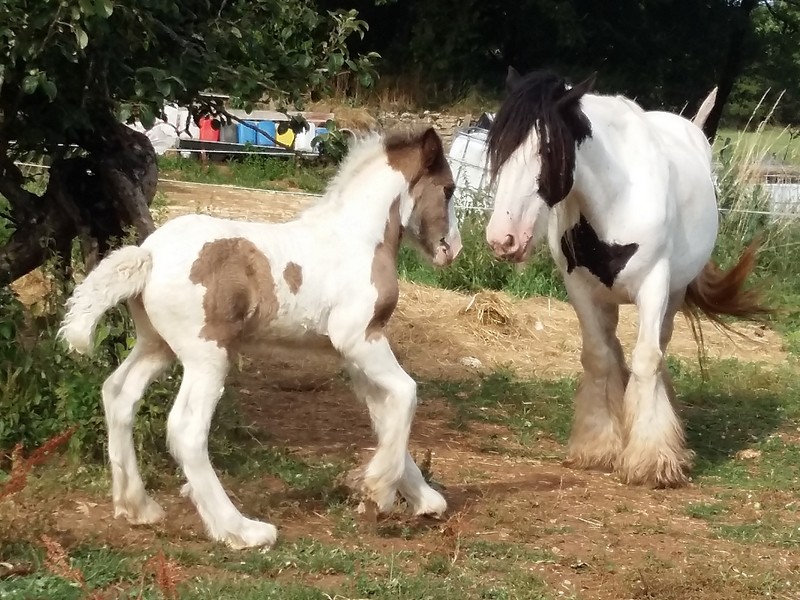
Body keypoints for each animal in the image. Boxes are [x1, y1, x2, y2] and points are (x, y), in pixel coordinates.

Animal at [59, 125, 462, 548]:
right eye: (448, 189)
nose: (453, 249)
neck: (356, 239)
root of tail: (148, 257)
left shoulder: (353, 354)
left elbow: (384, 413)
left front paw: (421, 498)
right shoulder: (360, 339)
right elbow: (406, 393)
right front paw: (379, 490)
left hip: (157, 346)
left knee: (118, 395)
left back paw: (137, 506)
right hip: (207, 356)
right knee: (186, 430)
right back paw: (240, 530)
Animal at [484, 68, 772, 488]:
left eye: (548, 150)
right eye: (498, 150)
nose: (502, 239)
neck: (616, 199)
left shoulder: (654, 286)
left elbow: (648, 358)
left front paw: (652, 460)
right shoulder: (581, 290)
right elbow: (599, 358)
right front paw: (599, 445)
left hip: (673, 294)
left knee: (658, 348)